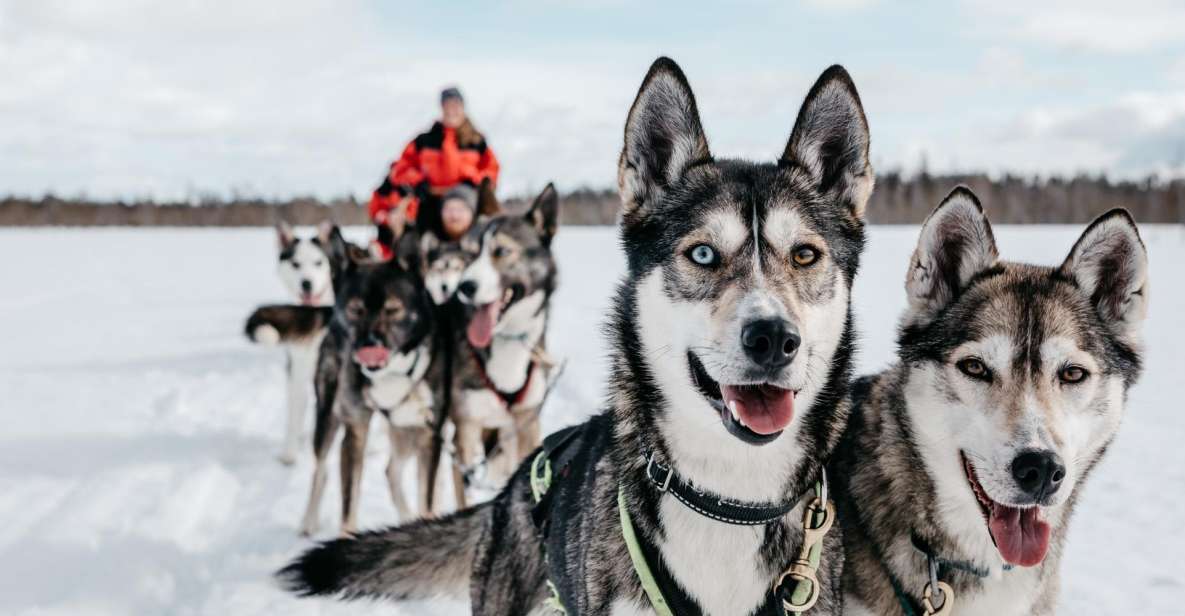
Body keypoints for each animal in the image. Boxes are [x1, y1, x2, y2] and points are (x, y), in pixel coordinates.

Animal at [247, 220, 346, 462]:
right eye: (295, 264)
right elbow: (294, 414)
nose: (306, 283)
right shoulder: (298, 370)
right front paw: (289, 454)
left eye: (319, 262)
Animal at [296, 228, 445, 535]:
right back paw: (309, 520)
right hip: (328, 415)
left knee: (393, 471)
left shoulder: (429, 434)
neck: (392, 374)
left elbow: (427, 498)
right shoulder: (355, 429)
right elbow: (348, 504)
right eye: (356, 310)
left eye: (393, 309)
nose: (369, 345)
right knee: (321, 468)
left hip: (406, 433)